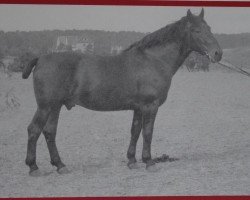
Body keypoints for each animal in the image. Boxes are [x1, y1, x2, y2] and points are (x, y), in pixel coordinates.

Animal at [22, 8, 223, 176]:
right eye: (196, 30)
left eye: (209, 27)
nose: (217, 53)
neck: (153, 60)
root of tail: (41, 58)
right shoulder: (150, 106)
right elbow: (148, 132)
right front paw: (149, 162)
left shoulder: (138, 108)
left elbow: (135, 131)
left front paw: (132, 161)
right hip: (45, 107)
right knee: (34, 130)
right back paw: (34, 167)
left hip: (55, 107)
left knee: (49, 132)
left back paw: (60, 165)